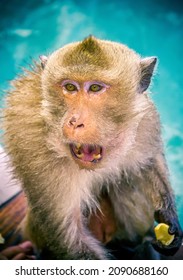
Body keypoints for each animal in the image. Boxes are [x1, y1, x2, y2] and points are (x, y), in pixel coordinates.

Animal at [2, 36, 182, 260]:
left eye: (95, 88)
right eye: (70, 87)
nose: (75, 122)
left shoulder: (145, 119)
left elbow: (148, 163)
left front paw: (168, 215)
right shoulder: (34, 148)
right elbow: (67, 236)